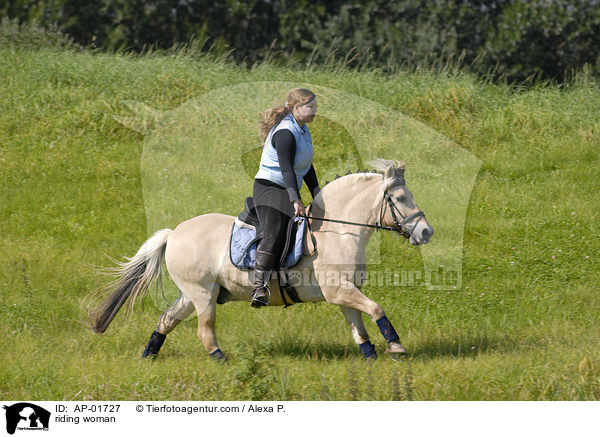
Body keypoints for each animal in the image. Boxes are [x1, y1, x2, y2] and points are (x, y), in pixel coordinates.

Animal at [86, 158, 434, 360]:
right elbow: (377, 310)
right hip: (202, 295)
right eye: (400, 198)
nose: (426, 232)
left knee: (166, 320)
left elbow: (358, 325)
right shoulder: (340, 291)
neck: (338, 231)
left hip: (192, 293)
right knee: (204, 330)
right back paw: (222, 360)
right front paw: (397, 347)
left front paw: (370, 356)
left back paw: (148, 356)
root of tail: (174, 234)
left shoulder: (344, 292)